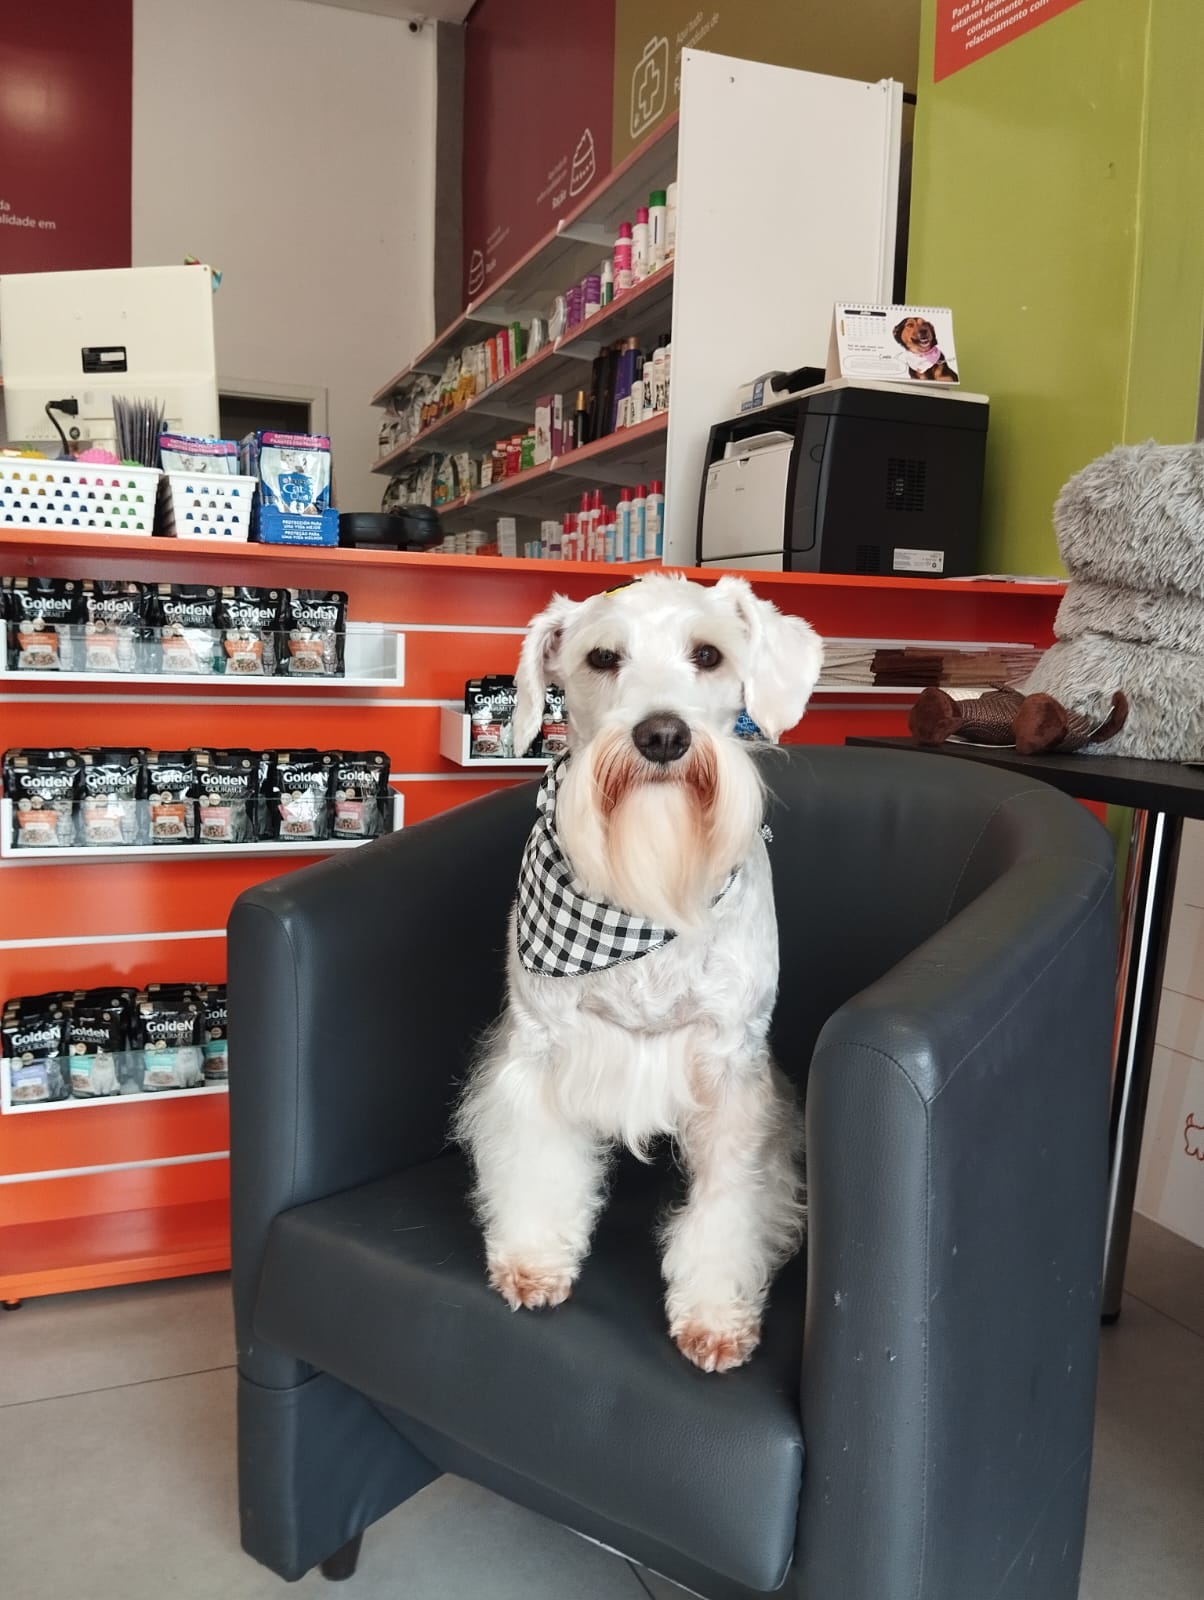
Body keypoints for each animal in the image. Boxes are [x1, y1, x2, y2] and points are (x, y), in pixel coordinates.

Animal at [454, 569, 826, 1369]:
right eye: (602, 658)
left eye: (709, 654)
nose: (662, 735)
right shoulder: (540, 1047)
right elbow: (537, 1158)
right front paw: (533, 1258)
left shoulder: (731, 1071)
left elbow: (730, 1200)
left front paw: (715, 1313)